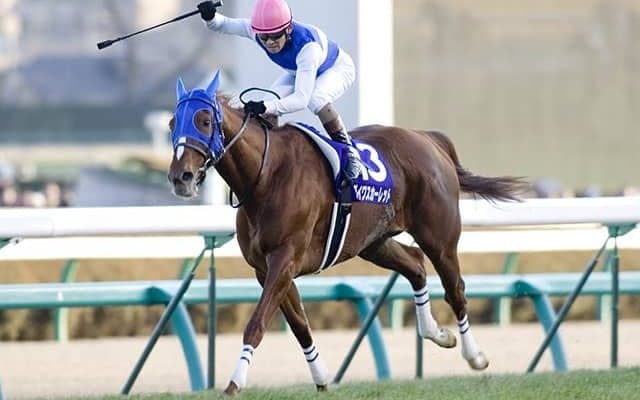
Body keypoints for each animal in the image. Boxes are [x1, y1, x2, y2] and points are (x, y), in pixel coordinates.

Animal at [167, 71, 526, 395]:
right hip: (373, 242)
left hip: (440, 238)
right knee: (415, 264)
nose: (180, 177)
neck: (266, 175)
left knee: (455, 290)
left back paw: (475, 356)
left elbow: (257, 323)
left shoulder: (285, 259)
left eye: (204, 121)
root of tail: (428, 139)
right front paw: (322, 379)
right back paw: (436, 333)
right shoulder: (265, 268)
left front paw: (234, 384)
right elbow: (299, 325)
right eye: (172, 123)